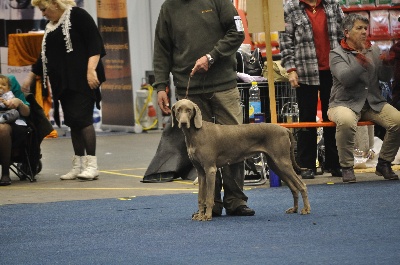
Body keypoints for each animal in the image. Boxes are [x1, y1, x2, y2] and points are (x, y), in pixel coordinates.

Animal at [170, 98, 310, 220]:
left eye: (189, 110)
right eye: (178, 110)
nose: (183, 123)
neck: (195, 134)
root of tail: (285, 129)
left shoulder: (210, 169)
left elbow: (209, 197)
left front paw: (207, 216)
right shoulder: (201, 172)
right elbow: (200, 198)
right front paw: (199, 215)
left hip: (282, 162)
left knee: (301, 185)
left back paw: (306, 209)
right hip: (275, 164)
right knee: (293, 187)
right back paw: (294, 209)